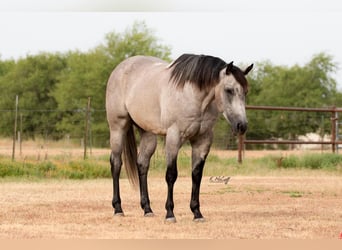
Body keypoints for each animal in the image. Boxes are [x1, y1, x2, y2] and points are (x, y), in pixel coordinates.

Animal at [105, 54, 252, 223]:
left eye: (245, 92)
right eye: (229, 90)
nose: (242, 125)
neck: (193, 96)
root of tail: (121, 67)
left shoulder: (203, 140)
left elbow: (196, 175)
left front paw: (197, 213)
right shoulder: (174, 138)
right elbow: (171, 175)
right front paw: (170, 213)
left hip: (148, 134)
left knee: (142, 164)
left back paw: (147, 209)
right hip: (118, 128)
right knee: (116, 164)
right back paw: (118, 208)